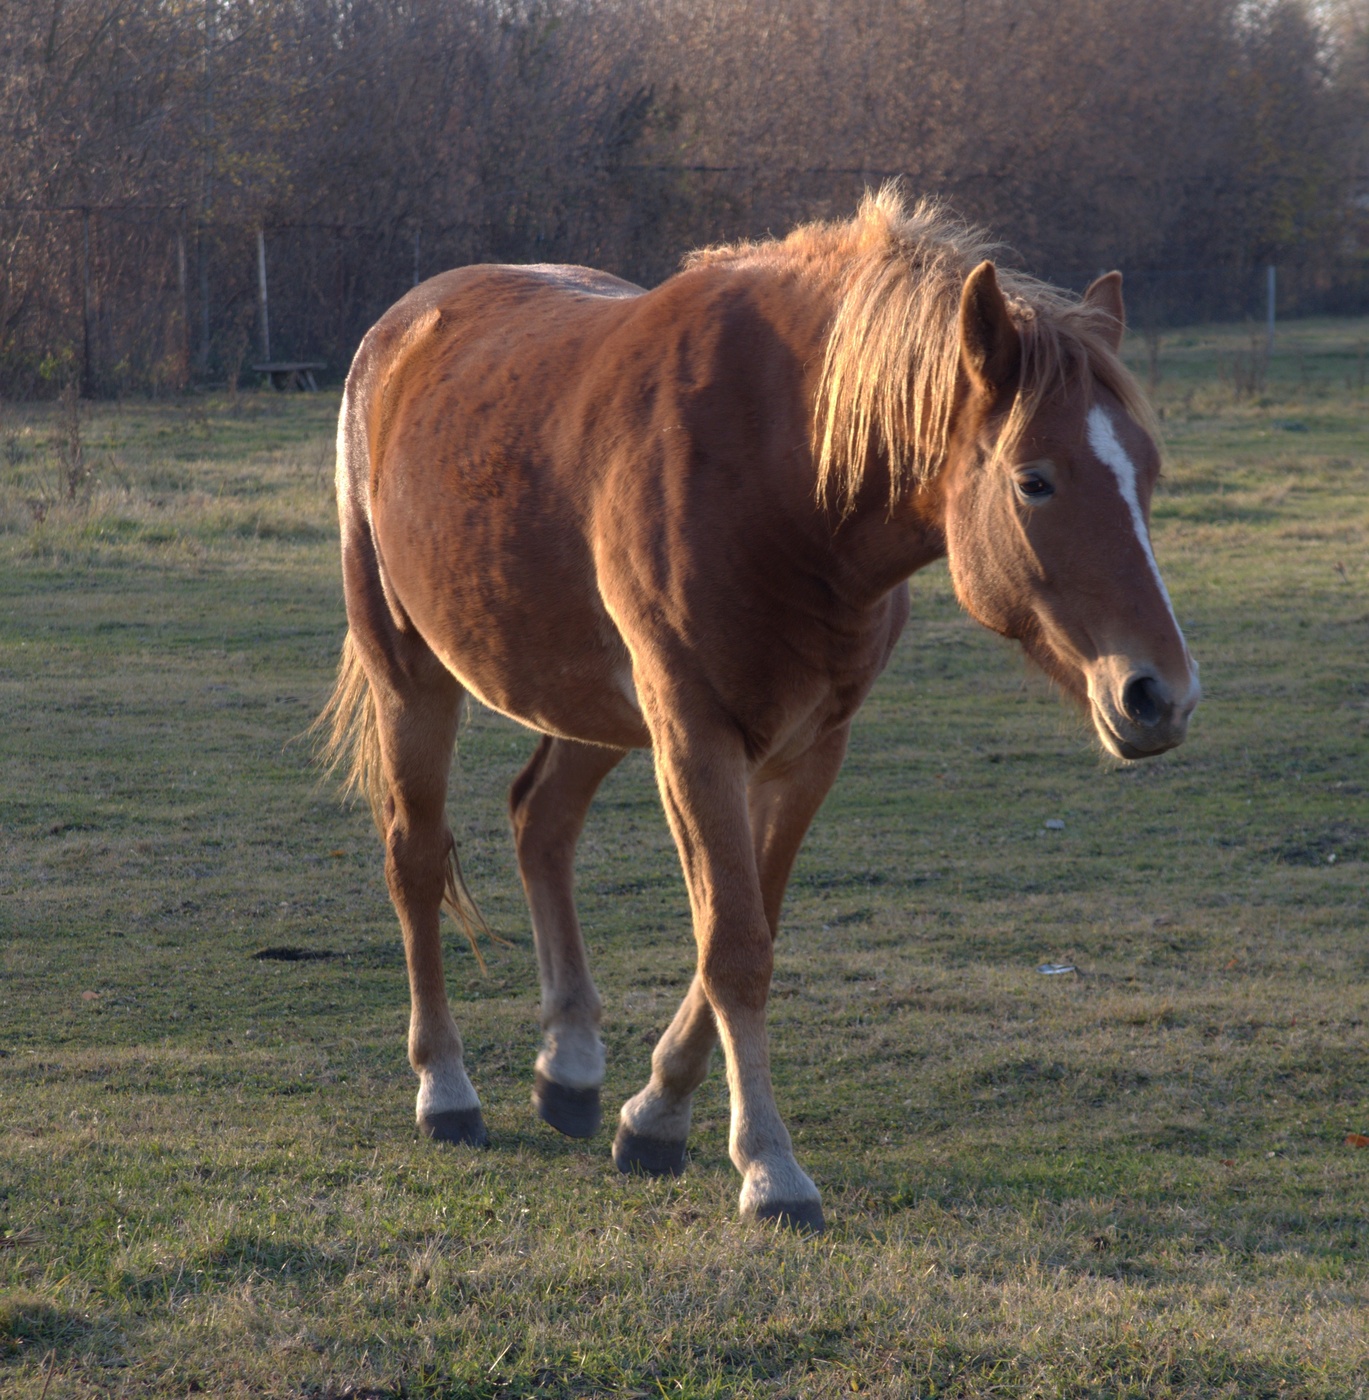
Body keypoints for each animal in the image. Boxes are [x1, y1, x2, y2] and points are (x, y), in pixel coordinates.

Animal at [320, 183, 1198, 1226]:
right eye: (1035, 480)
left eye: (1147, 473)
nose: (1159, 695)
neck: (781, 477)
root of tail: (398, 330)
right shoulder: (696, 735)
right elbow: (732, 944)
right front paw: (769, 1169)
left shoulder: (809, 746)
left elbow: (749, 928)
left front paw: (653, 1116)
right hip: (412, 674)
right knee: (415, 859)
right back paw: (445, 1090)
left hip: (596, 708)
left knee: (542, 821)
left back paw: (568, 1068)